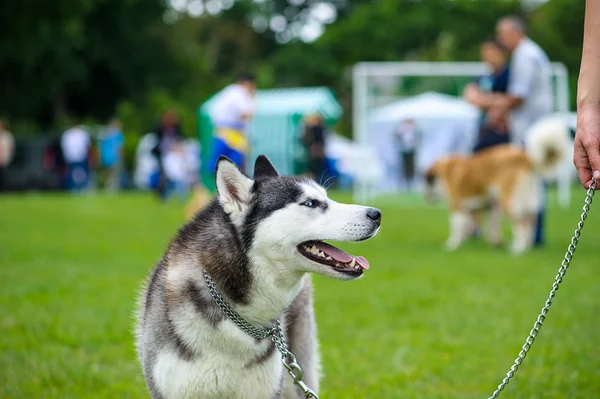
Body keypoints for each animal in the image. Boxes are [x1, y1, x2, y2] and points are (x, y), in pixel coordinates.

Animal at [424, 119, 568, 256]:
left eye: (426, 182)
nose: (426, 198)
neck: (444, 171)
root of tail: (522, 156)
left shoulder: (457, 205)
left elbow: (456, 226)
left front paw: (452, 245)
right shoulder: (486, 207)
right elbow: (482, 225)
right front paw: (491, 243)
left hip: (509, 200)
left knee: (520, 226)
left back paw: (517, 250)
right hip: (529, 201)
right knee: (529, 225)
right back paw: (525, 248)